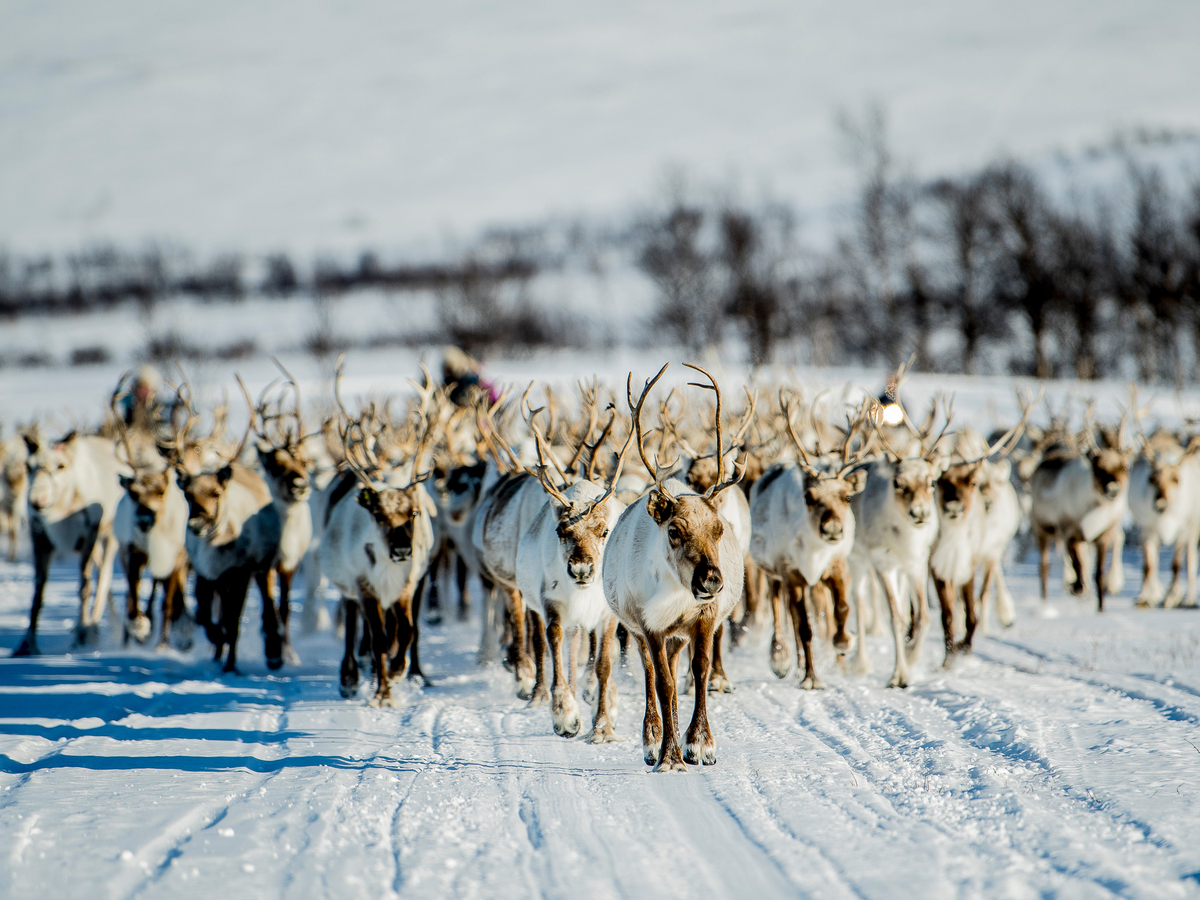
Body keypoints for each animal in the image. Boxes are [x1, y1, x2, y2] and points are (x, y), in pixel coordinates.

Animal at [15, 427, 128, 655]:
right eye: (28, 466)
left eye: (61, 465)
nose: (36, 501)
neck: (62, 507)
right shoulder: (40, 536)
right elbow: (37, 592)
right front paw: (27, 644)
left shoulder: (88, 534)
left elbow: (85, 587)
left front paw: (82, 635)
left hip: (109, 538)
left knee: (103, 579)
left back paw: (93, 628)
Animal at [320, 364, 438, 705]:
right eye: (377, 514)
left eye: (414, 513)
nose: (402, 550)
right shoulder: (365, 587)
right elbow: (378, 640)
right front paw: (383, 693)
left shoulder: (406, 586)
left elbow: (406, 632)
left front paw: (398, 671)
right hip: (348, 585)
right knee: (352, 622)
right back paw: (350, 677)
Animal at [603, 363, 745, 772]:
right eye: (675, 531)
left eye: (718, 530)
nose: (712, 580)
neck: (676, 594)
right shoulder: (649, 624)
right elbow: (663, 682)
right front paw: (667, 754)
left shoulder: (704, 617)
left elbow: (700, 670)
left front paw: (699, 744)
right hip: (638, 628)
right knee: (653, 673)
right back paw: (652, 739)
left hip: (679, 634)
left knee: (676, 664)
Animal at [750, 394, 867, 687]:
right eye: (809, 497)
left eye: (848, 497)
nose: (833, 528)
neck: (814, 553)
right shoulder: (791, 573)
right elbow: (804, 628)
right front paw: (811, 679)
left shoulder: (837, 566)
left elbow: (842, 608)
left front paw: (843, 642)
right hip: (774, 573)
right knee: (783, 613)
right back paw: (782, 660)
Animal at [1128, 430, 1200, 608]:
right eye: (1151, 479)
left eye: (1176, 479)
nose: (1160, 504)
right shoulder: (1147, 528)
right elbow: (1148, 565)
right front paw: (1144, 598)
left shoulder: (1183, 529)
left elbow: (1176, 564)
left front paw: (1173, 596)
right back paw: (1156, 593)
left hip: (1193, 528)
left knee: (1190, 560)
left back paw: (1189, 599)